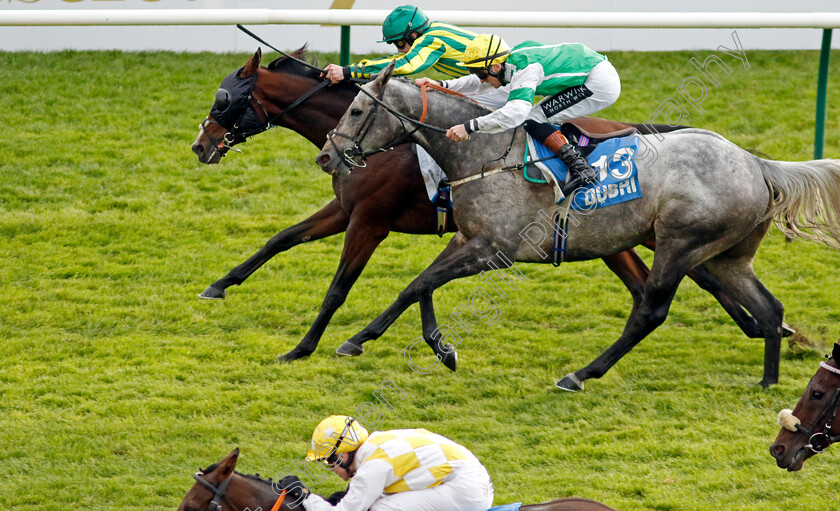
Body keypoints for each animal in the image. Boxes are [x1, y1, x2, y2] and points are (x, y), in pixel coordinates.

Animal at [192, 48, 788, 366]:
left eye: (225, 101)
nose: (200, 145)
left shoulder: (370, 220)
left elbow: (342, 287)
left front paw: (308, 346)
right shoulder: (348, 211)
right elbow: (281, 238)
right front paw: (219, 284)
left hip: (651, 234)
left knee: (678, 285)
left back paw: (770, 332)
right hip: (620, 238)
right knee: (666, 285)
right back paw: (770, 332)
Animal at [314, 64, 840, 392]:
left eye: (356, 111)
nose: (325, 156)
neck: (483, 155)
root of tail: (756, 162)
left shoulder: (493, 250)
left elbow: (419, 284)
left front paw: (384, 342)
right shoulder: (469, 239)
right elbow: (417, 286)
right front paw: (427, 346)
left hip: (682, 244)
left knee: (650, 312)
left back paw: (580, 375)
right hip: (728, 255)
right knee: (769, 308)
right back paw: (769, 381)